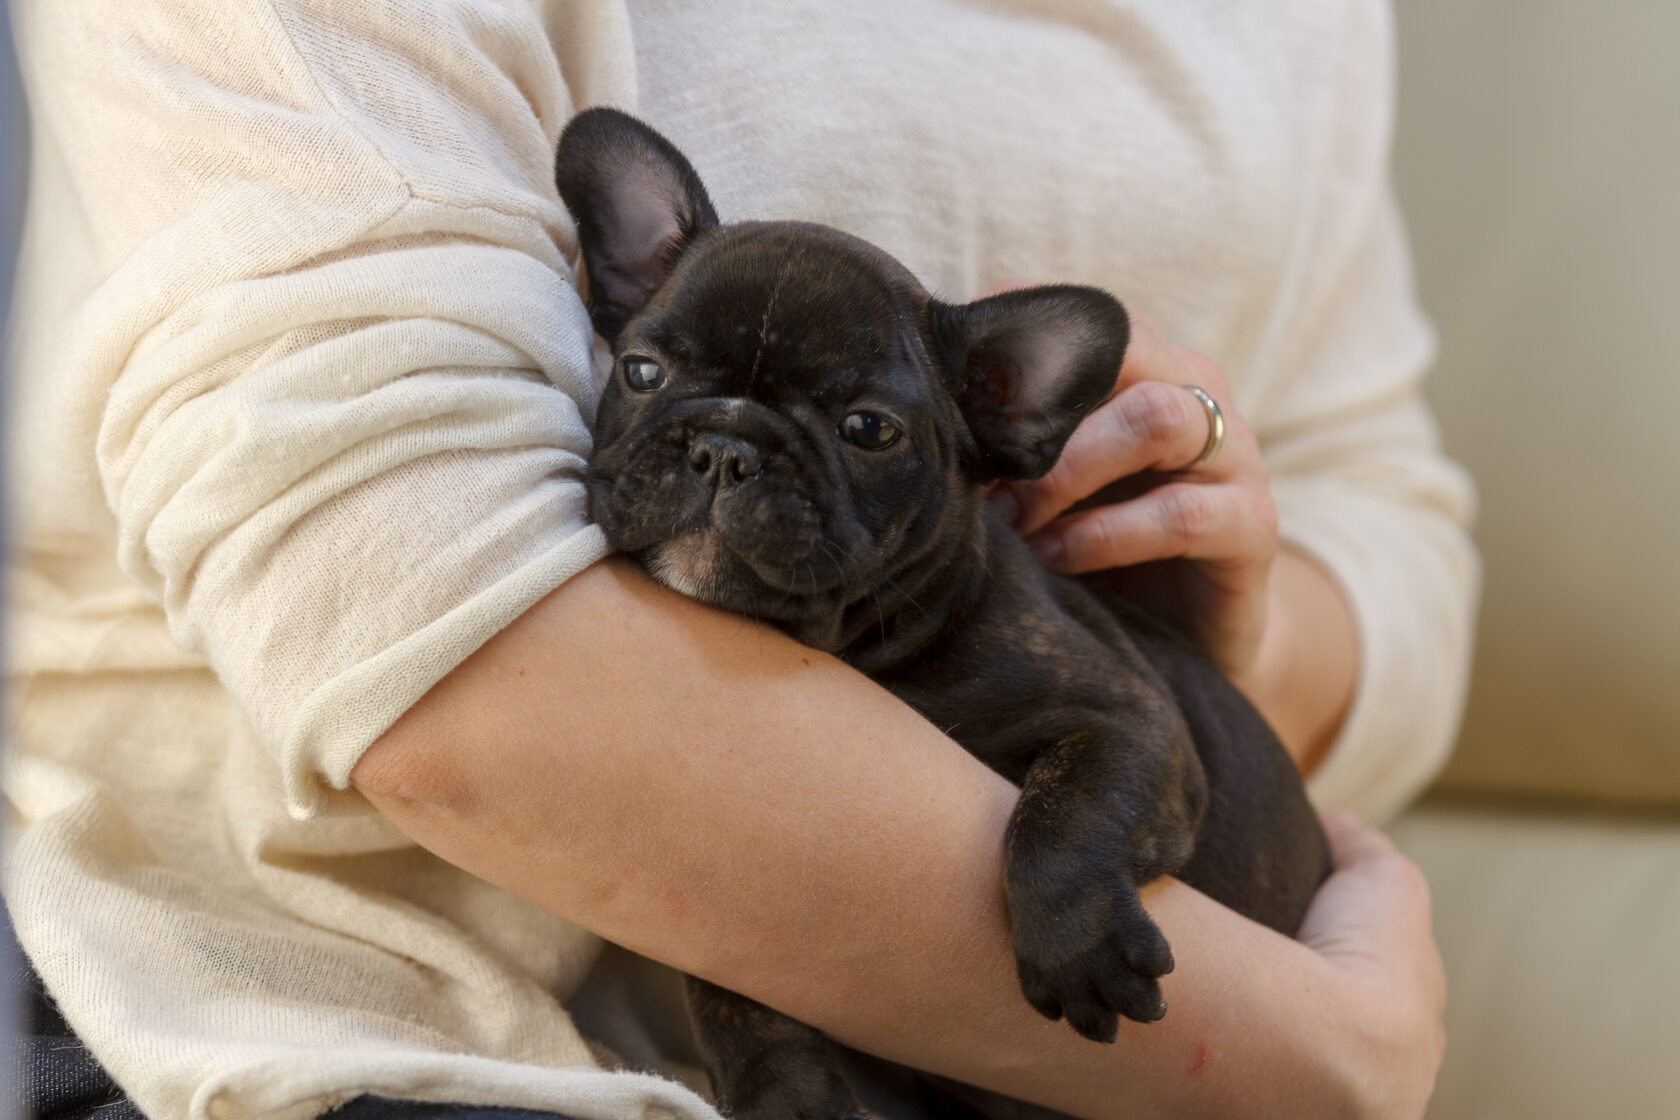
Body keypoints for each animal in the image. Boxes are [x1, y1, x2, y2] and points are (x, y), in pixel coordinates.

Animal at [557, 107, 1330, 1120]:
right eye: (642, 371)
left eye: (868, 430)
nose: (726, 447)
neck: (866, 646)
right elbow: (726, 972)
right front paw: (780, 1088)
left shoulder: (1132, 721)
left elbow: (1062, 812)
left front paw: (1079, 948)